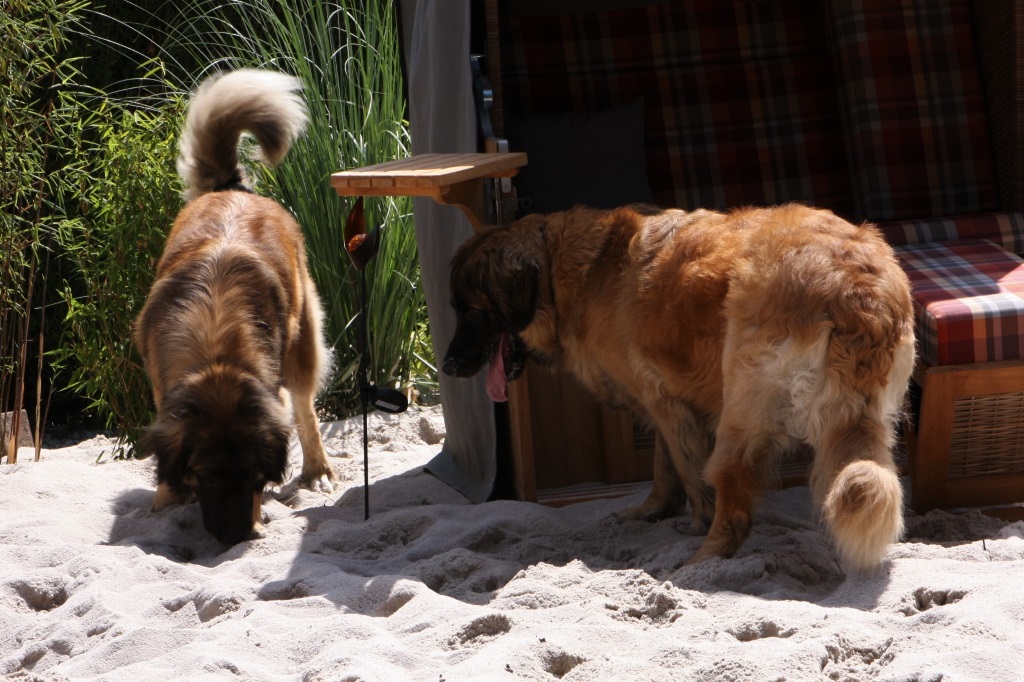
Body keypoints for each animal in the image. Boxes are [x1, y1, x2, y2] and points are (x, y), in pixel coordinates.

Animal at [134, 70, 333, 540]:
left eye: (252, 476)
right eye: (206, 476)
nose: (234, 537)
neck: (216, 353)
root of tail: (232, 187)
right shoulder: (160, 382)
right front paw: (167, 498)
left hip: (301, 340)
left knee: (305, 407)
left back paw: (317, 471)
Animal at [444, 204, 917, 569]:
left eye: (471, 311)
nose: (447, 367)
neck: (575, 272)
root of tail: (855, 291)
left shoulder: (667, 404)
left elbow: (687, 474)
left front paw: (691, 524)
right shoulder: (662, 400)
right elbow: (662, 468)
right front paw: (652, 511)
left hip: (741, 410)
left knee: (732, 500)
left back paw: (698, 564)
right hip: (867, 419)